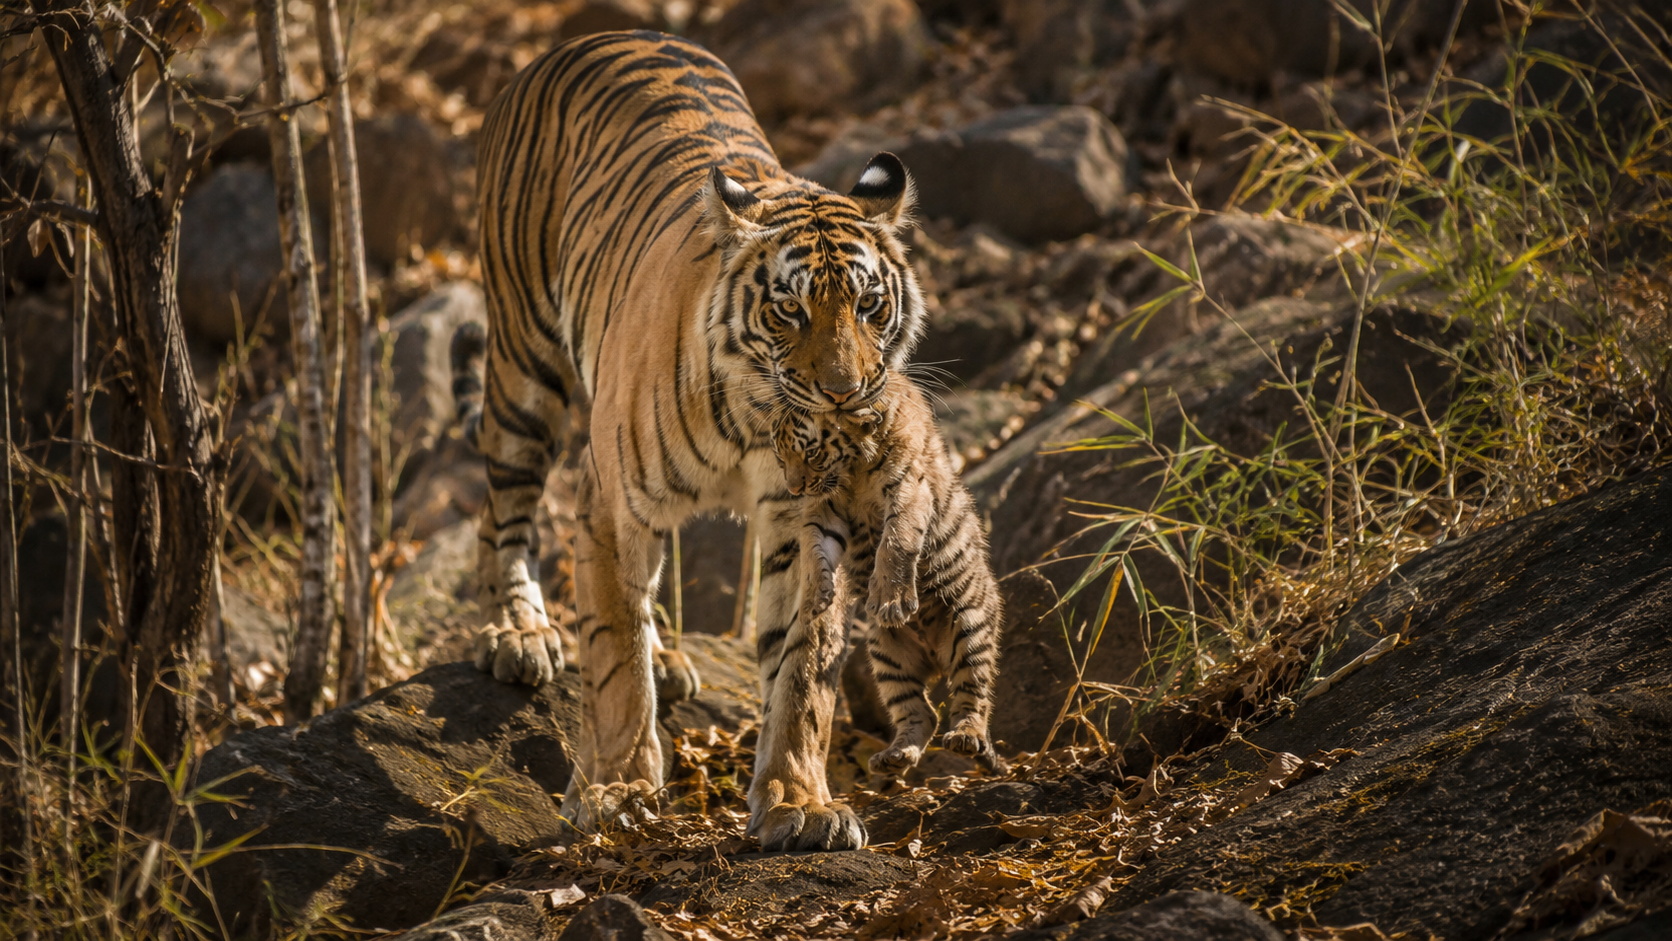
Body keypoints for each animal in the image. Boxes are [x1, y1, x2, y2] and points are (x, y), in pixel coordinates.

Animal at [454, 30, 927, 852]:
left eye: (869, 305)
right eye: (791, 310)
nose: (844, 392)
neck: (759, 424)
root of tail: (590, 36)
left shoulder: (808, 522)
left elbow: (804, 665)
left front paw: (800, 802)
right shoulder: (610, 503)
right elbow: (614, 654)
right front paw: (617, 789)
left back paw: (666, 657)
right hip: (523, 365)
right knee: (502, 507)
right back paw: (517, 631)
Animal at [771, 379, 1007, 777]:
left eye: (812, 454)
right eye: (780, 457)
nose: (794, 489)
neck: (851, 469)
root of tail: (936, 658)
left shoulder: (908, 489)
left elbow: (895, 542)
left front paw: (890, 601)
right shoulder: (824, 510)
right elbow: (813, 547)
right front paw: (816, 597)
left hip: (969, 627)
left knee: (973, 696)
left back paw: (965, 736)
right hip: (886, 654)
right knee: (921, 713)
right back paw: (894, 756)